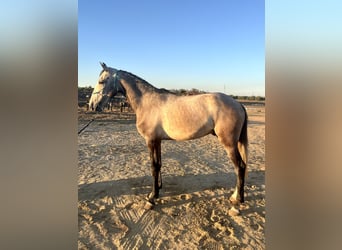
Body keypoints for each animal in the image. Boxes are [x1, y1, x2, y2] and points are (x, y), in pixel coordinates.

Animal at [89, 62, 248, 207]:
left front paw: (152, 197)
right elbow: (159, 164)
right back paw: (236, 195)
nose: (92, 105)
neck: (146, 102)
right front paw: (157, 189)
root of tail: (238, 104)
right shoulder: (158, 140)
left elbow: (153, 166)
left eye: (101, 81)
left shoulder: (150, 140)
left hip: (229, 144)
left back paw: (237, 199)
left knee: (239, 167)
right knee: (242, 167)